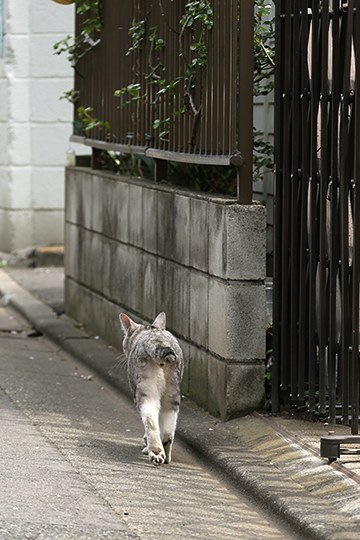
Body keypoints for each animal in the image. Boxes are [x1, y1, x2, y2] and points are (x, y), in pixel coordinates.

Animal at [119, 312, 184, 464]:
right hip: (172, 394)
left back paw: (154, 451)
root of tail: (158, 341)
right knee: (168, 430)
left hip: (146, 392)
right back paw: (165, 456)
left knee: (150, 421)